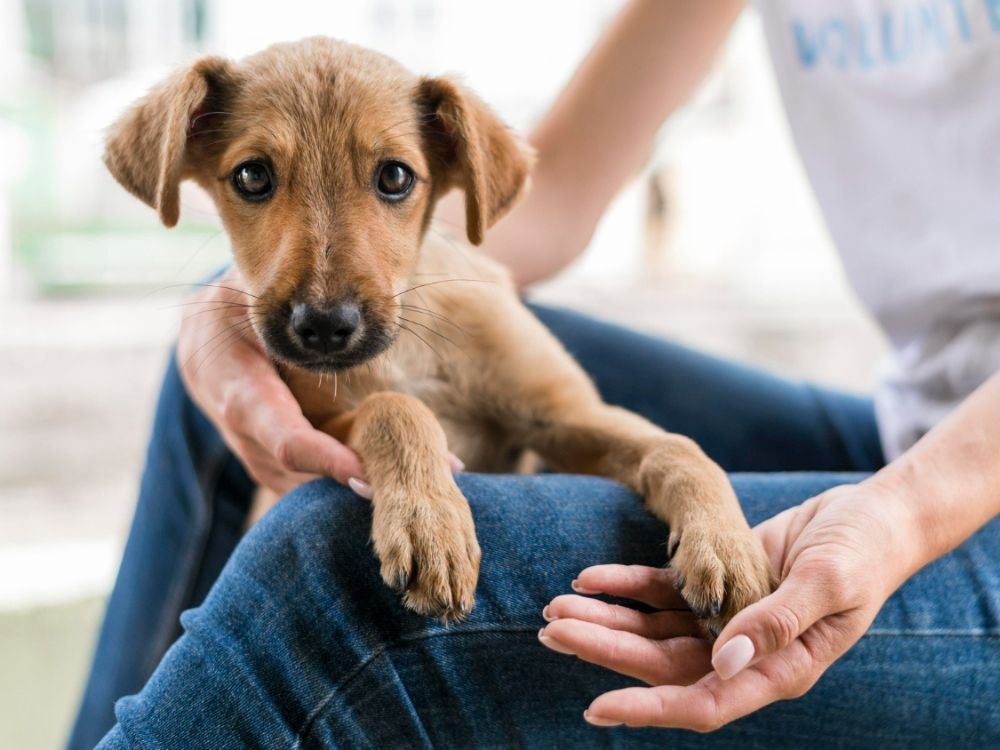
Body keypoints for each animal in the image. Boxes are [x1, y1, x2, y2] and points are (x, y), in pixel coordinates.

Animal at [103, 35, 772, 636]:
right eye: (251, 176)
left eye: (396, 177)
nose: (324, 328)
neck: (410, 346)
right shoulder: (317, 428)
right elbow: (394, 408)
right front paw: (431, 524)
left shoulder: (565, 416)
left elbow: (678, 448)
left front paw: (728, 546)